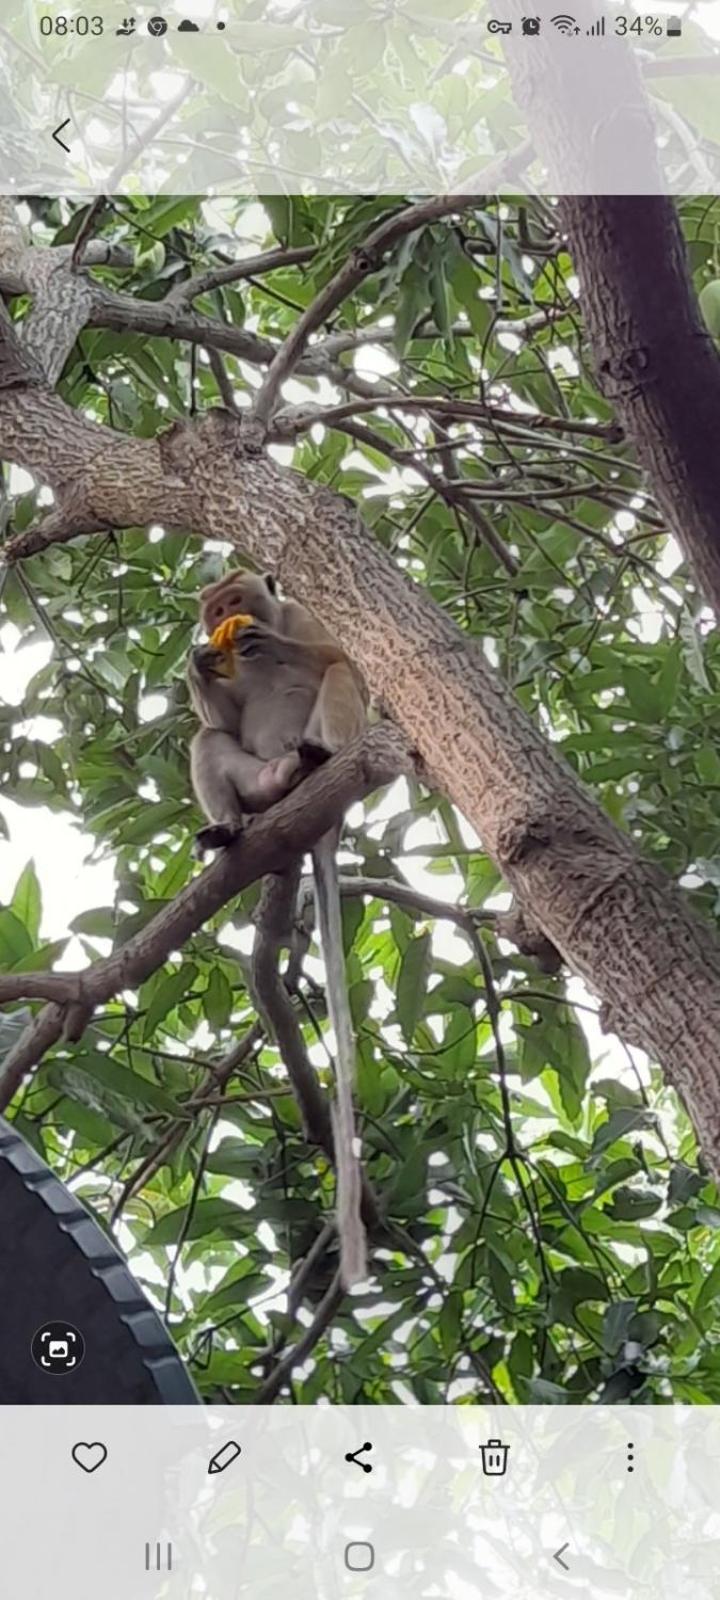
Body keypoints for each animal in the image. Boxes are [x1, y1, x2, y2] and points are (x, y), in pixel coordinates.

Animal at [185, 572, 368, 1286]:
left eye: (237, 599)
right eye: (214, 608)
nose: (226, 617)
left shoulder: (303, 617)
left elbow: (341, 659)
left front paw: (264, 641)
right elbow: (218, 722)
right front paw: (200, 662)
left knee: (340, 675)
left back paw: (315, 762)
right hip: (250, 783)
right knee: (208, 744)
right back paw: (239, 820)